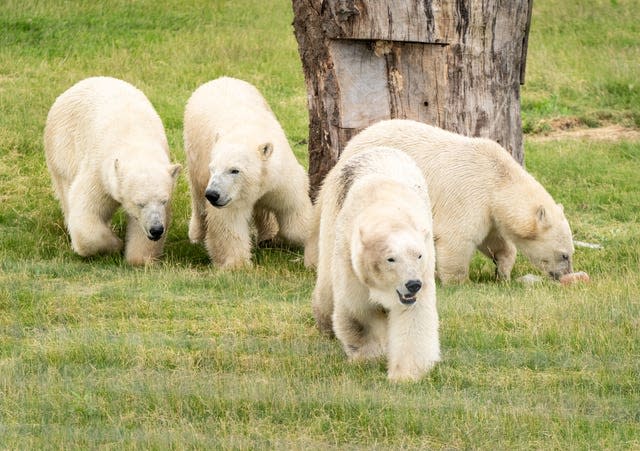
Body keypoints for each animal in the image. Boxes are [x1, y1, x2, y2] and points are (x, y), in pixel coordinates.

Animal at [43, 76, 181, 266]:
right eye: (140, 203)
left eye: (164, 201)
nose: (156, 230)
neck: (135, 140)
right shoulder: (99, 172)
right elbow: (86, 213)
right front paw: (116, 244)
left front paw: (140, 258)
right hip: (62, 148)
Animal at [182, 77, 312, 268]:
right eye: (213, 168)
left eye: (234, 170)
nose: (213, 194)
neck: (247, 133)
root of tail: (219, 78)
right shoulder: (230, 196)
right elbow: (228, 223)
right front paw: (237, 264)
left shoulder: (282, 175)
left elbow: (293, 212)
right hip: (194, 154)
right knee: (198, 196)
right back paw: (196, 235)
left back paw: (267, 235)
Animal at [308, 118, 572, 284]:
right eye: (564, 255)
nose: (566, 275)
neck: (498, 178)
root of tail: (351, 144)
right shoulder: (470, 195)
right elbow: (458, 239)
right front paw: (461, 282)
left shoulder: (490, 211)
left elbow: (494, 241)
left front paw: (503, 273)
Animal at [314, 147, 440, 384]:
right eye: (391, 258)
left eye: (418, 255)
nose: (413, 284)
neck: (386, 206)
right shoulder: (349, 256)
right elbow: (359, 309)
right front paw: (367, 357)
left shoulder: (425, 266)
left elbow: (413, 316)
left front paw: (404, 375)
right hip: (333, 208)